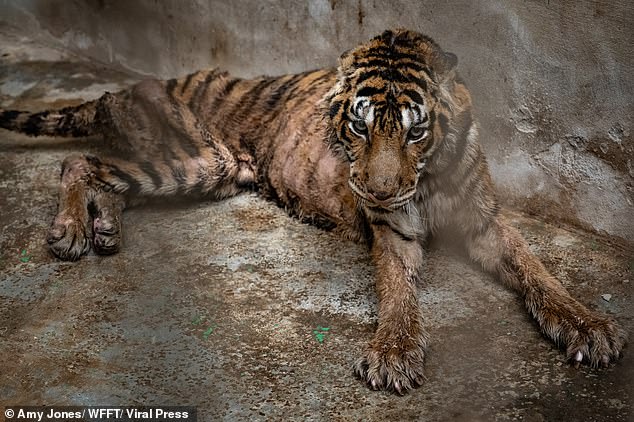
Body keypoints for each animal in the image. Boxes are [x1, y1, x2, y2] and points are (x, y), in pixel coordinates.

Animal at [0, 30, 624, 396]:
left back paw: (103, 228)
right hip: (198, 157)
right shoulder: (391, 229)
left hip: (207, 170)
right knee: (79, 161)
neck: (427, 177)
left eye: (415, 129)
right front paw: (394, 354)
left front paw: (587, 326)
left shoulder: (485, 218)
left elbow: (536, 270)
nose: (378, 189)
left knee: (107, 177)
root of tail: (124, 89)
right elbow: (398, 292)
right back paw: (71, 231)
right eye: (359, 126)